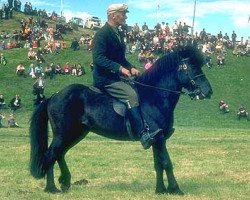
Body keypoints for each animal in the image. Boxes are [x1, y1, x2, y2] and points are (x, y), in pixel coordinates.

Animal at [29, 46, 213, 195]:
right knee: (51, 154)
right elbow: (167, 162)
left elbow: (158, 164)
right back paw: (52, 188)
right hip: (64, 134)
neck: (154, 96)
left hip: (76, 133)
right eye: (192, 67)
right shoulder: (159, 138)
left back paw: (65, 182)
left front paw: (160, 190)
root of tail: (54, 96)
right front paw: (175, 189)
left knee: (59, 154)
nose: (208, 91)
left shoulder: (157, 138)